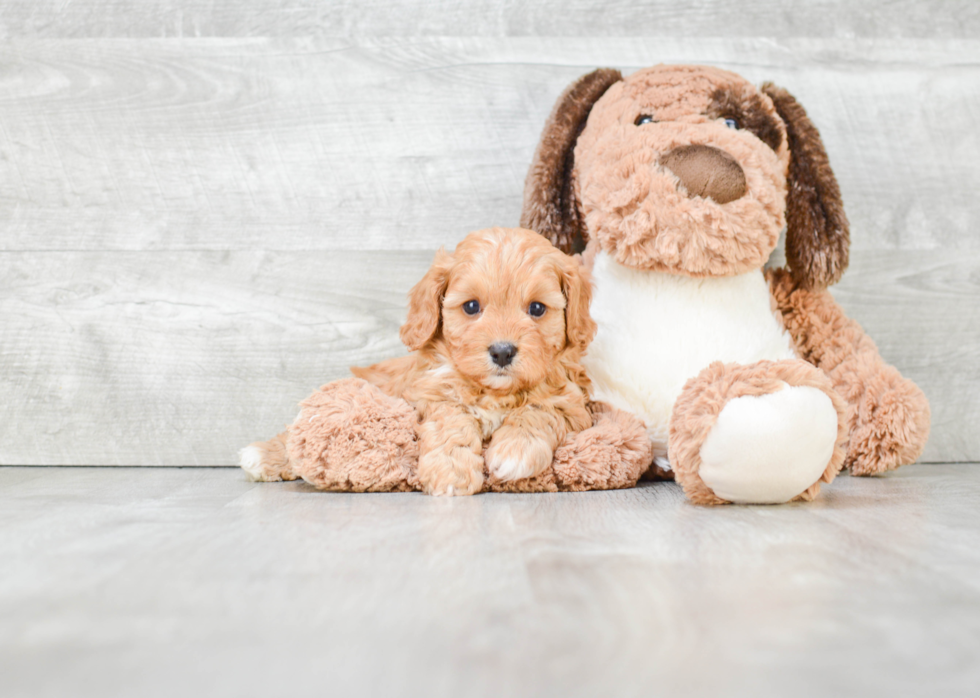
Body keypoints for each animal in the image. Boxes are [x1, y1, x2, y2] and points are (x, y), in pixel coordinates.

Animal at [352, 227, 596, 494]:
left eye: (537, 308)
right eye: (471, 306)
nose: (502, 352)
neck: (495, 392)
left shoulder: (574, 404)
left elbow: (542, 409)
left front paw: (516, 449)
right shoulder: (432, 393)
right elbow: (450, 423)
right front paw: (451, 469)